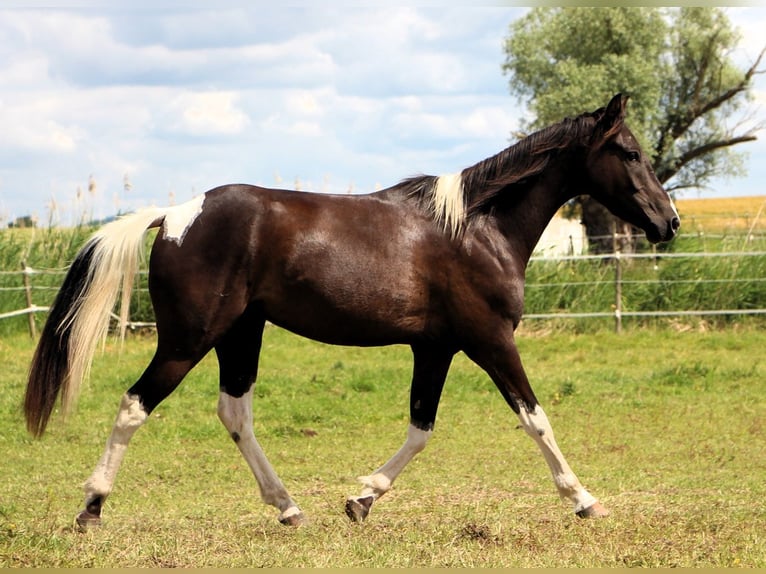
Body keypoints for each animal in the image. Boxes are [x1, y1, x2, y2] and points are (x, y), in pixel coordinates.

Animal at [24, 94, 684, 532]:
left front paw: (361, 499)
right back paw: (91, 508)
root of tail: (176, 214)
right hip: (189, 339)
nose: (669, 223)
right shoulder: (490, 340)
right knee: (135, 405)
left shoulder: (436, 349)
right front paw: (585, 499)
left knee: (234, 413)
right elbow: (536, 419)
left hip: (240, 333)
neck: (476, 228)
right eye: (630, 152)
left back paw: (289, 507)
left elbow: (421, 428)